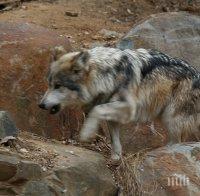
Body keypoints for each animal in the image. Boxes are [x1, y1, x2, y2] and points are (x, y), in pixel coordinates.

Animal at [39, 46, 200, 161]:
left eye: (58, 86)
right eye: (49, 84)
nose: (41, 105)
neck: (106, 75)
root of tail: (197, 73)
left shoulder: (129, 107)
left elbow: (96, 110)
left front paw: (86, 133)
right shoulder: (113, 115)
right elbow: (114, 140)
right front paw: (115, 158)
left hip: (171, 118)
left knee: (177, 142)